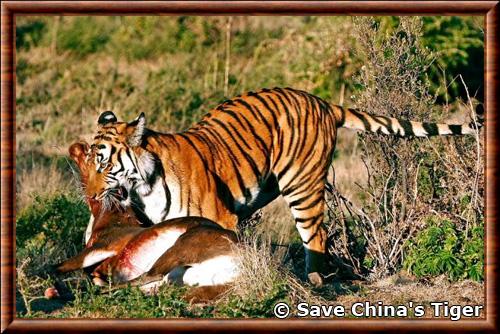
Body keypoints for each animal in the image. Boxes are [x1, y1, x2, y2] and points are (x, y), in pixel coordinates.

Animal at [84, 87, 482, 286]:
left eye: (103, 164)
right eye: (84, 165)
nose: (89, 195)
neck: (144, 188)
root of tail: (322, 102)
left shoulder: (218, 217)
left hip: (302, 186)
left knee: (316, 235)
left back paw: (314, 281)